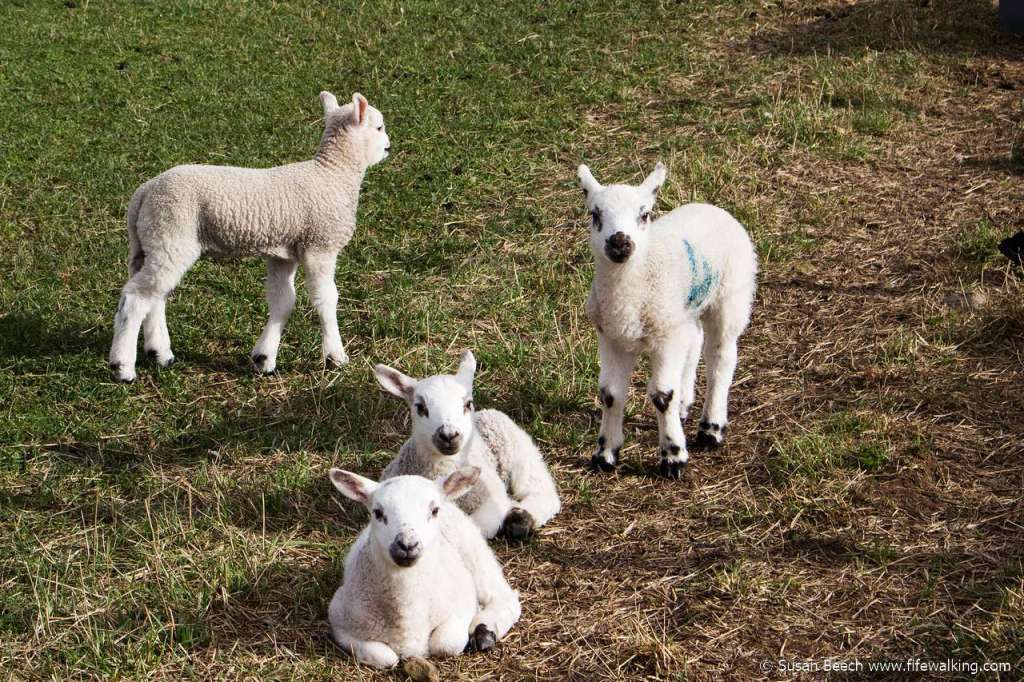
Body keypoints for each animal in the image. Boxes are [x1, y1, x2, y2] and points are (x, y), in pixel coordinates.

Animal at [108, 91, 390, 383]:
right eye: (379, 127)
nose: (388, 147)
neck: (333, 173)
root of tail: (144, 192)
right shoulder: (320, 245)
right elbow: (326, 299)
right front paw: (336, 357)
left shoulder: (283, 254)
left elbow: (283, 302)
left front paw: (264, 358)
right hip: (171, 232)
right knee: (136, 299)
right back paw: (123, 367)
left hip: (155, 241)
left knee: (155, 295)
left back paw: (160, 354)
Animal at [327, 466, 522, 669]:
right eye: (378, 512)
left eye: (434, 511)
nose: (407, 545)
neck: (407, 615)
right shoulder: (339, 622)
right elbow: (386, 657)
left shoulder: (462, 603)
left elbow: (444, 644)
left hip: (474, 552)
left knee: (503, 596)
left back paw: (484, 631)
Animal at [374, 350, 561, 540]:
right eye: (420, 407)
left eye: (467, 404)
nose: (448, 435)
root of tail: (482, 413)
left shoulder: (491, 500)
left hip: (514, 447)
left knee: (539, 489)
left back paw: (522, 518)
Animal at [577, 161, 757, 479]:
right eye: (594, 214)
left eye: (645, 214)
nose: (619, 242)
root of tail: (711, 207)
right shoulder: (611, 336)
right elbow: (610, 394)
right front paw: (605, 454)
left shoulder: (664, 338)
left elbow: (662, 396)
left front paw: (673, 457)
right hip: (681, 313)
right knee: (695, 340)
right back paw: (685, 405)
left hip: (731, 295)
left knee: (721, 357)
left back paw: (711, 429)